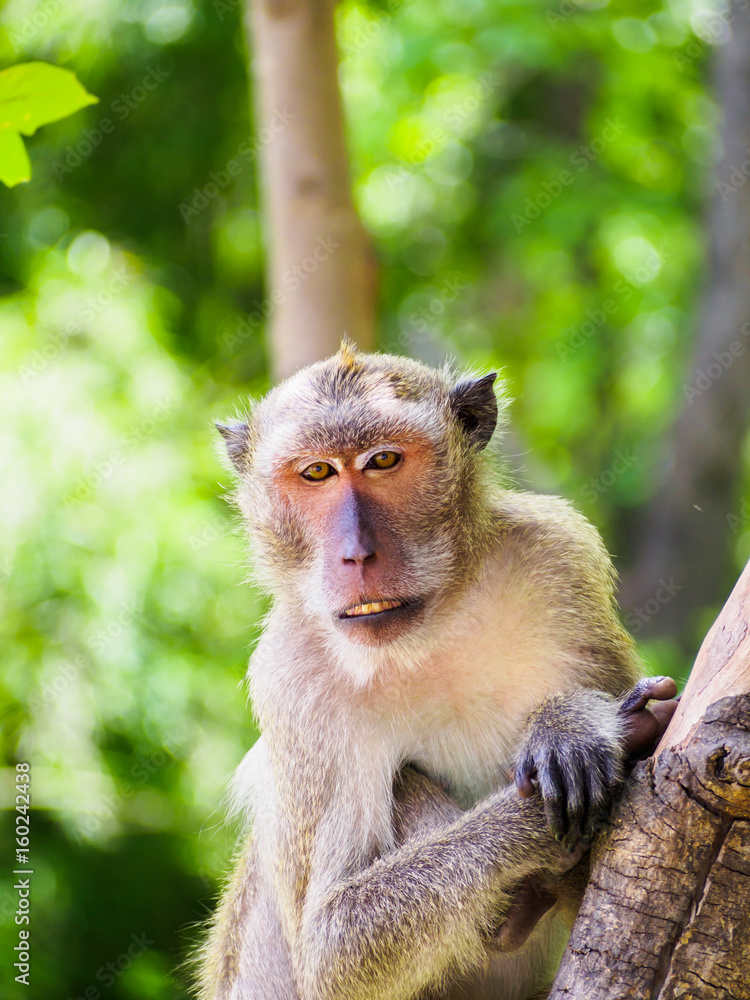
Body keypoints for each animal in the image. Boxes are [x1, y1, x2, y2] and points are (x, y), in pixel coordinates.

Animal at [198, 343, 677, 1000]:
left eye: (383, 461)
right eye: (317, 473)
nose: (356, 554)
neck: (427, 633)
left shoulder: (557, 557)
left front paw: (571, 725)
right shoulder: (289, 675)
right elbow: (330, 948)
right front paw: (539, 805)